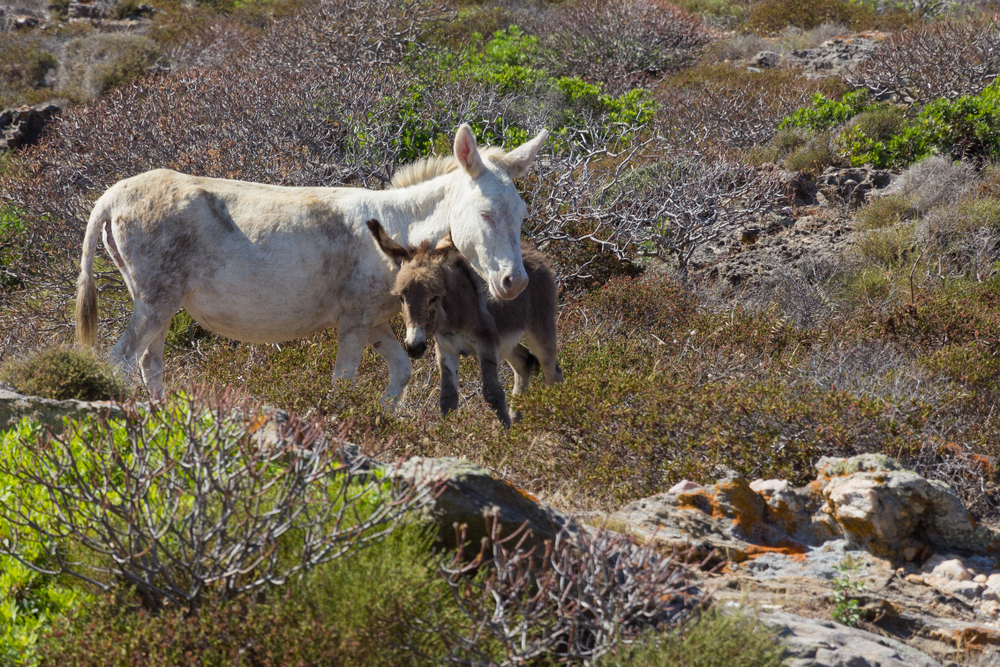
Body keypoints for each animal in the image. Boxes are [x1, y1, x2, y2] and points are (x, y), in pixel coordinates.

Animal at [368, 219, 564, 428]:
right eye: (401, 298)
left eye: (434, 297)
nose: (414, 348)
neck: (452, 318)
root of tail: (534, 252)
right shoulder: (447, 349)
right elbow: (447, 399)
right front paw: (445, 435)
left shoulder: (485, 345)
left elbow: (493, 393)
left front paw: (505, 435)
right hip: (505, 343)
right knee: (524, 362)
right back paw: (518, 423)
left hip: (539, 330)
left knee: (552, 374)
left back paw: (559, 419)